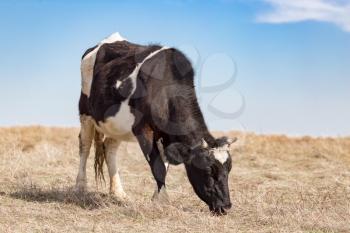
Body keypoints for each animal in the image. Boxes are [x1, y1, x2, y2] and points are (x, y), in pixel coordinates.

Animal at [76, 32, 235, 215]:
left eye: (229, 169)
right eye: (208, 171)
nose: (226, 206)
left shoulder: (166, 135)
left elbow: (165, 165)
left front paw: (157, 198)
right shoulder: (143, 129)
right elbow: (158, 166)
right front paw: (163, 200)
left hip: (116, 124)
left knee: (109, 148)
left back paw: (118, 193)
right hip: (85, 111)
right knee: (85, 146)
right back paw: (80, 187)